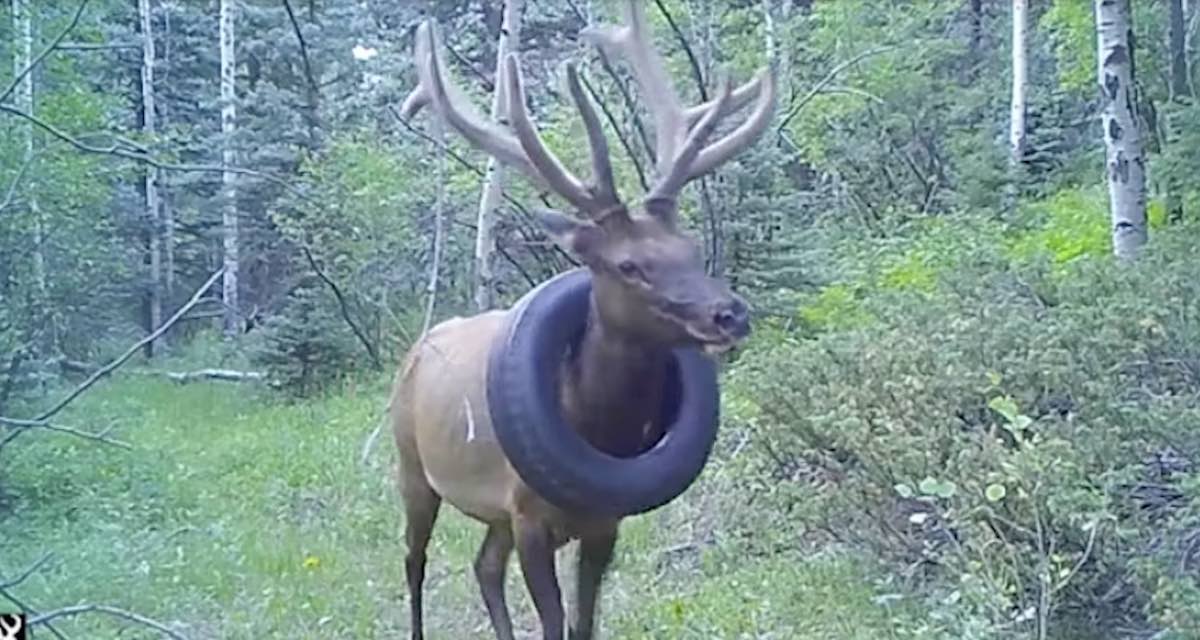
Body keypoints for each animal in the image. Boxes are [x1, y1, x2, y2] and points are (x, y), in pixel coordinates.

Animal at [391, 3, 775, 639]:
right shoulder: (528, 515)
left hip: (490, 512)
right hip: (413, 467)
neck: (596, 426)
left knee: (483, 567)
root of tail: (418, 349)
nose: (730, 313)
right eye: (628, 265)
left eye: (691, 246)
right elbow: (553, 624)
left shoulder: (602, 524)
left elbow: (583, 623)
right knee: (414, 561)